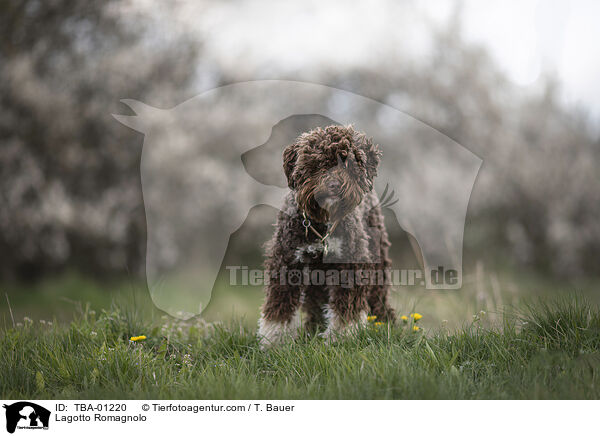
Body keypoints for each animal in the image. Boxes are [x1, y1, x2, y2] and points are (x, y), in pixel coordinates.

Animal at [256, 125, 394, 348]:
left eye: (347, 163)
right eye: (317, 163)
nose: (334, 184)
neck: (322, 224)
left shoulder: (350, 264)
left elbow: (346, 309)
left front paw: (342, 338)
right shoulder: (287, 262)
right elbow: (280, 306)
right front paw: (275, 342)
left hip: (378, 260)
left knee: (379, 298)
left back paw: (387, 324)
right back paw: (312, 329)